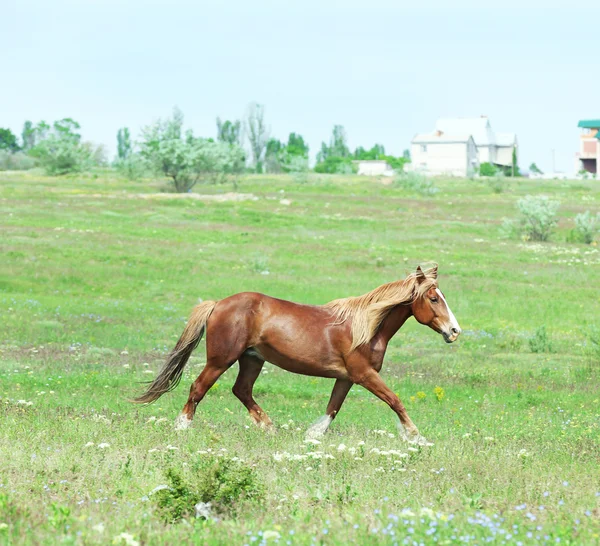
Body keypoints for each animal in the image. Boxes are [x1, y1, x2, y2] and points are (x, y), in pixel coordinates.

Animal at [136, 266, 462, 444]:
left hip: (252, 359)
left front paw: (313, 435)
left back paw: (270, 428)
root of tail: (218, 304)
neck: (367, 327)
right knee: (198, 388)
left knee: (241, 390)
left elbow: (333, 408)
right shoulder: (364, 375)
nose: (454, 331)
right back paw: (182, 427)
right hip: (221, 359)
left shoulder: (347, 378)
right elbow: (395, 401)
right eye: (433, 298)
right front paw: (417, 437)